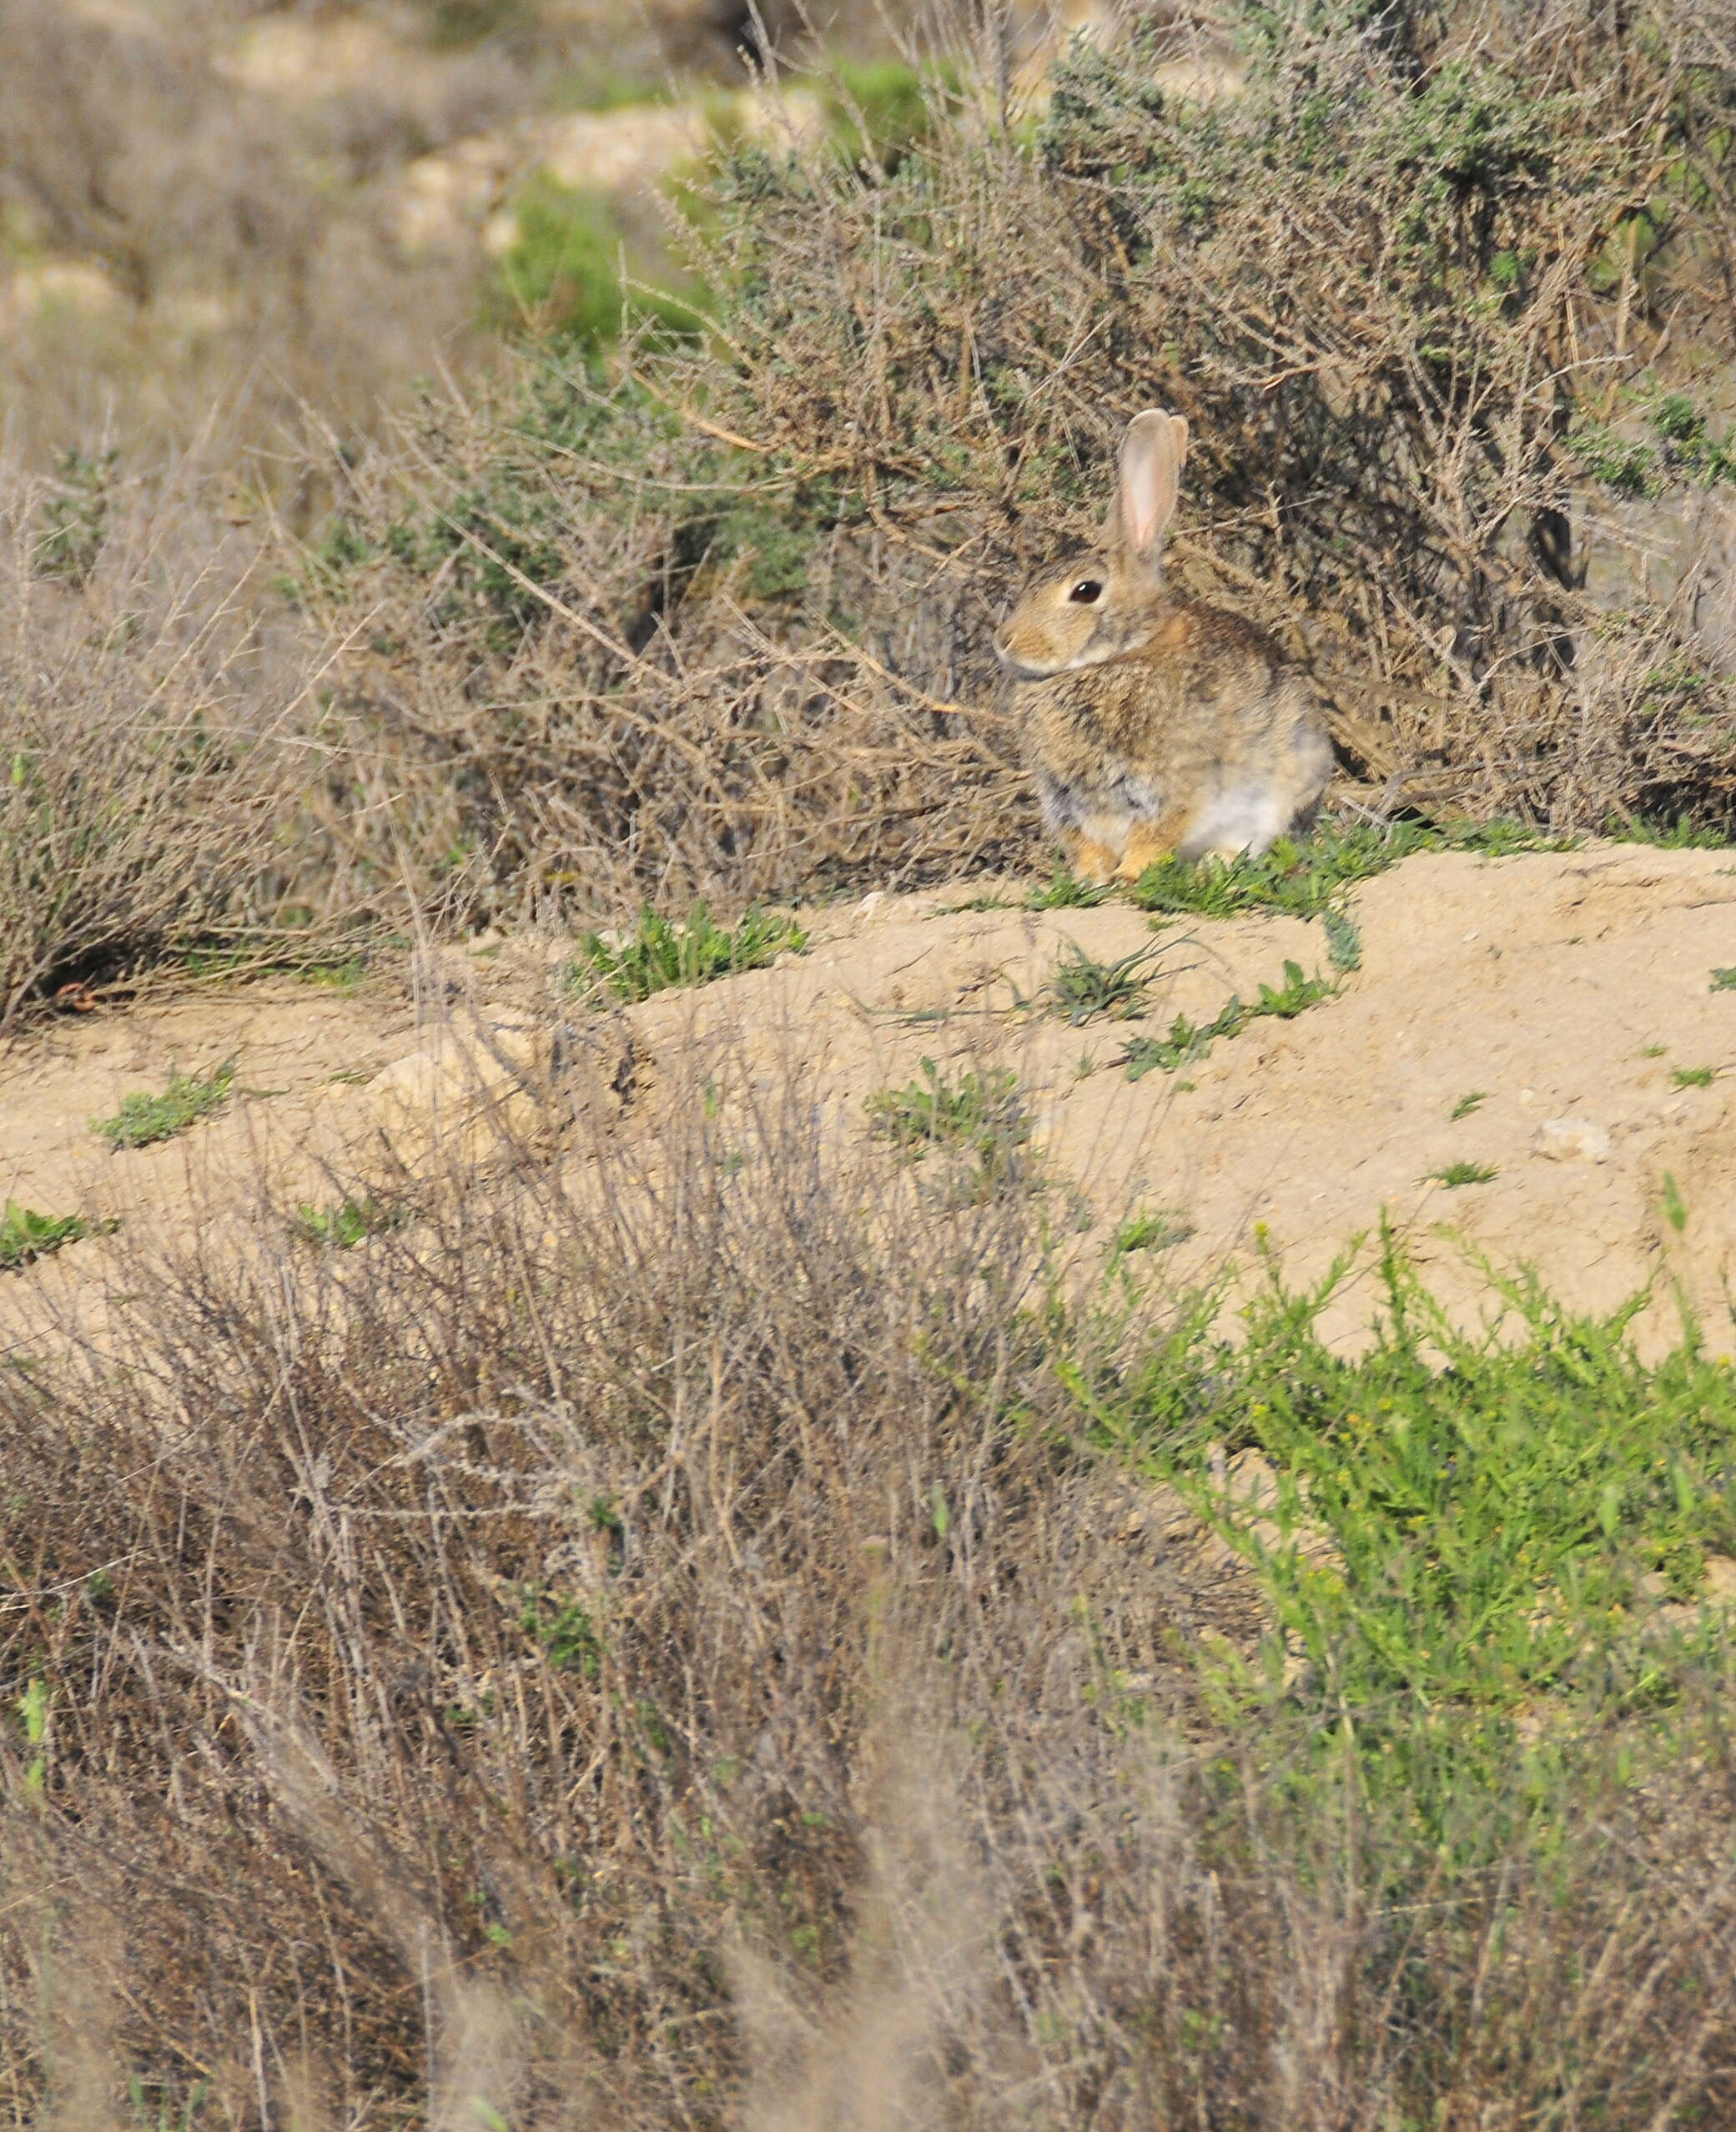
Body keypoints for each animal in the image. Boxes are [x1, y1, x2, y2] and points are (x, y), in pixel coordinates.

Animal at [994, 407, 1331, 882]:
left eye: (1085, 591)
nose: (1005, 641)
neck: (1122, 655)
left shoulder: (1175, 785)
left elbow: (1155, 836)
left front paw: (1131, 875)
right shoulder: (1066, 804)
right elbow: (1088, 847)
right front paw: (1090, 881)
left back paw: (1213, 867)